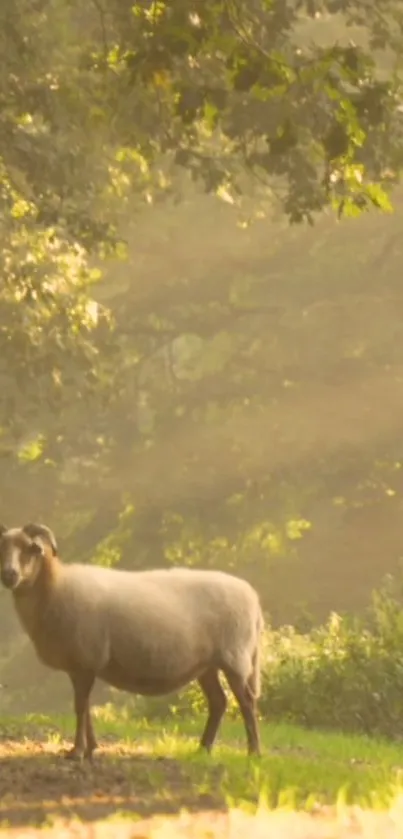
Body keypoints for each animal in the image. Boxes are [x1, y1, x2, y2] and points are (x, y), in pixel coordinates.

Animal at [0, 520, 266, 756]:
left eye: (28, 549)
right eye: (2, 547)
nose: (9, 575)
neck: (54, 586)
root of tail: (253, 598)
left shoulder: (85, 660)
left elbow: (80, 707)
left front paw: (77, 751)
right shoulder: (82, 665)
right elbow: (86, 707)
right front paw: (92, 748)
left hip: (235, 658)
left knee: (247, 702)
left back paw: (253, 752)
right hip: (207, 665)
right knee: (219, 702)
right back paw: (203, 749)